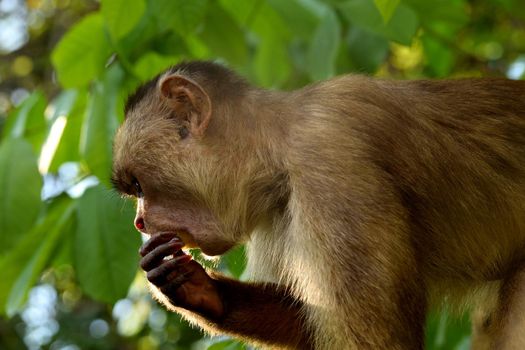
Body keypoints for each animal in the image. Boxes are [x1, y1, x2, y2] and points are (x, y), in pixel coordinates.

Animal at [111, 61, 524, 348]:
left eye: (138, 185)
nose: (139, 222)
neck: (278, 150)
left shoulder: (327, 162)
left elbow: (379, 342)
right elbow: (310, 321)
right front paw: (201, 291)